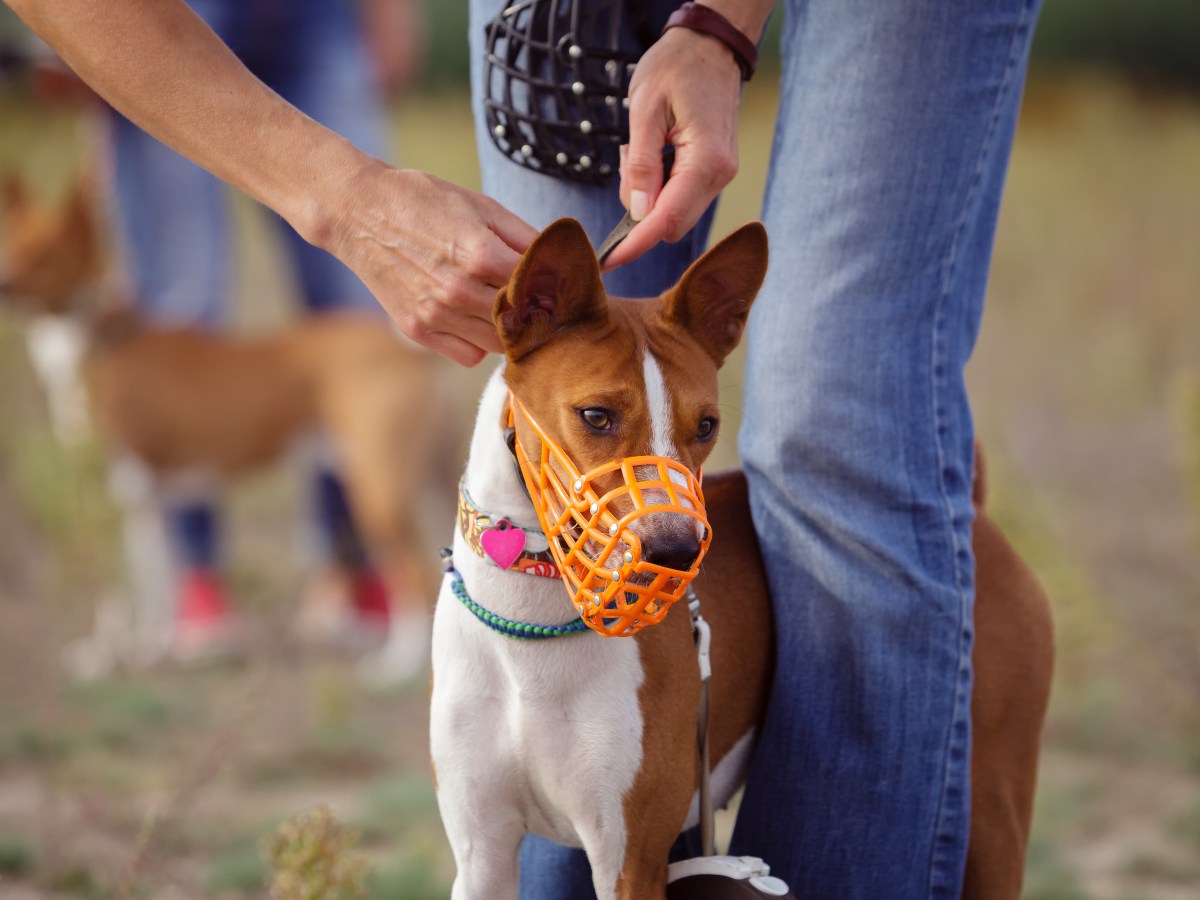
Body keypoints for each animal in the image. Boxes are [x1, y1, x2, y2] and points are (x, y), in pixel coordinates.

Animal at [2, 176, 451, 681]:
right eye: (10, 245)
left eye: (44, 255)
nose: (3, 283)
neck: (101, 338)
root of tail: (404, 351)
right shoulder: (142, 504)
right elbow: (151, 588)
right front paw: (148, 651)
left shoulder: (112, 498)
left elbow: (115, 593)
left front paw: (106, 658)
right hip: (438, 476)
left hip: (377, 492)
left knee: (413, 574)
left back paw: (397, 666)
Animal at [429, 218, 1051, 900]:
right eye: (595, 415)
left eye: (705, 426)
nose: (675, 551)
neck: (531, 628)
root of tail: (975, 517)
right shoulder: (482, 855)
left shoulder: (630, 862)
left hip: (993, 809)